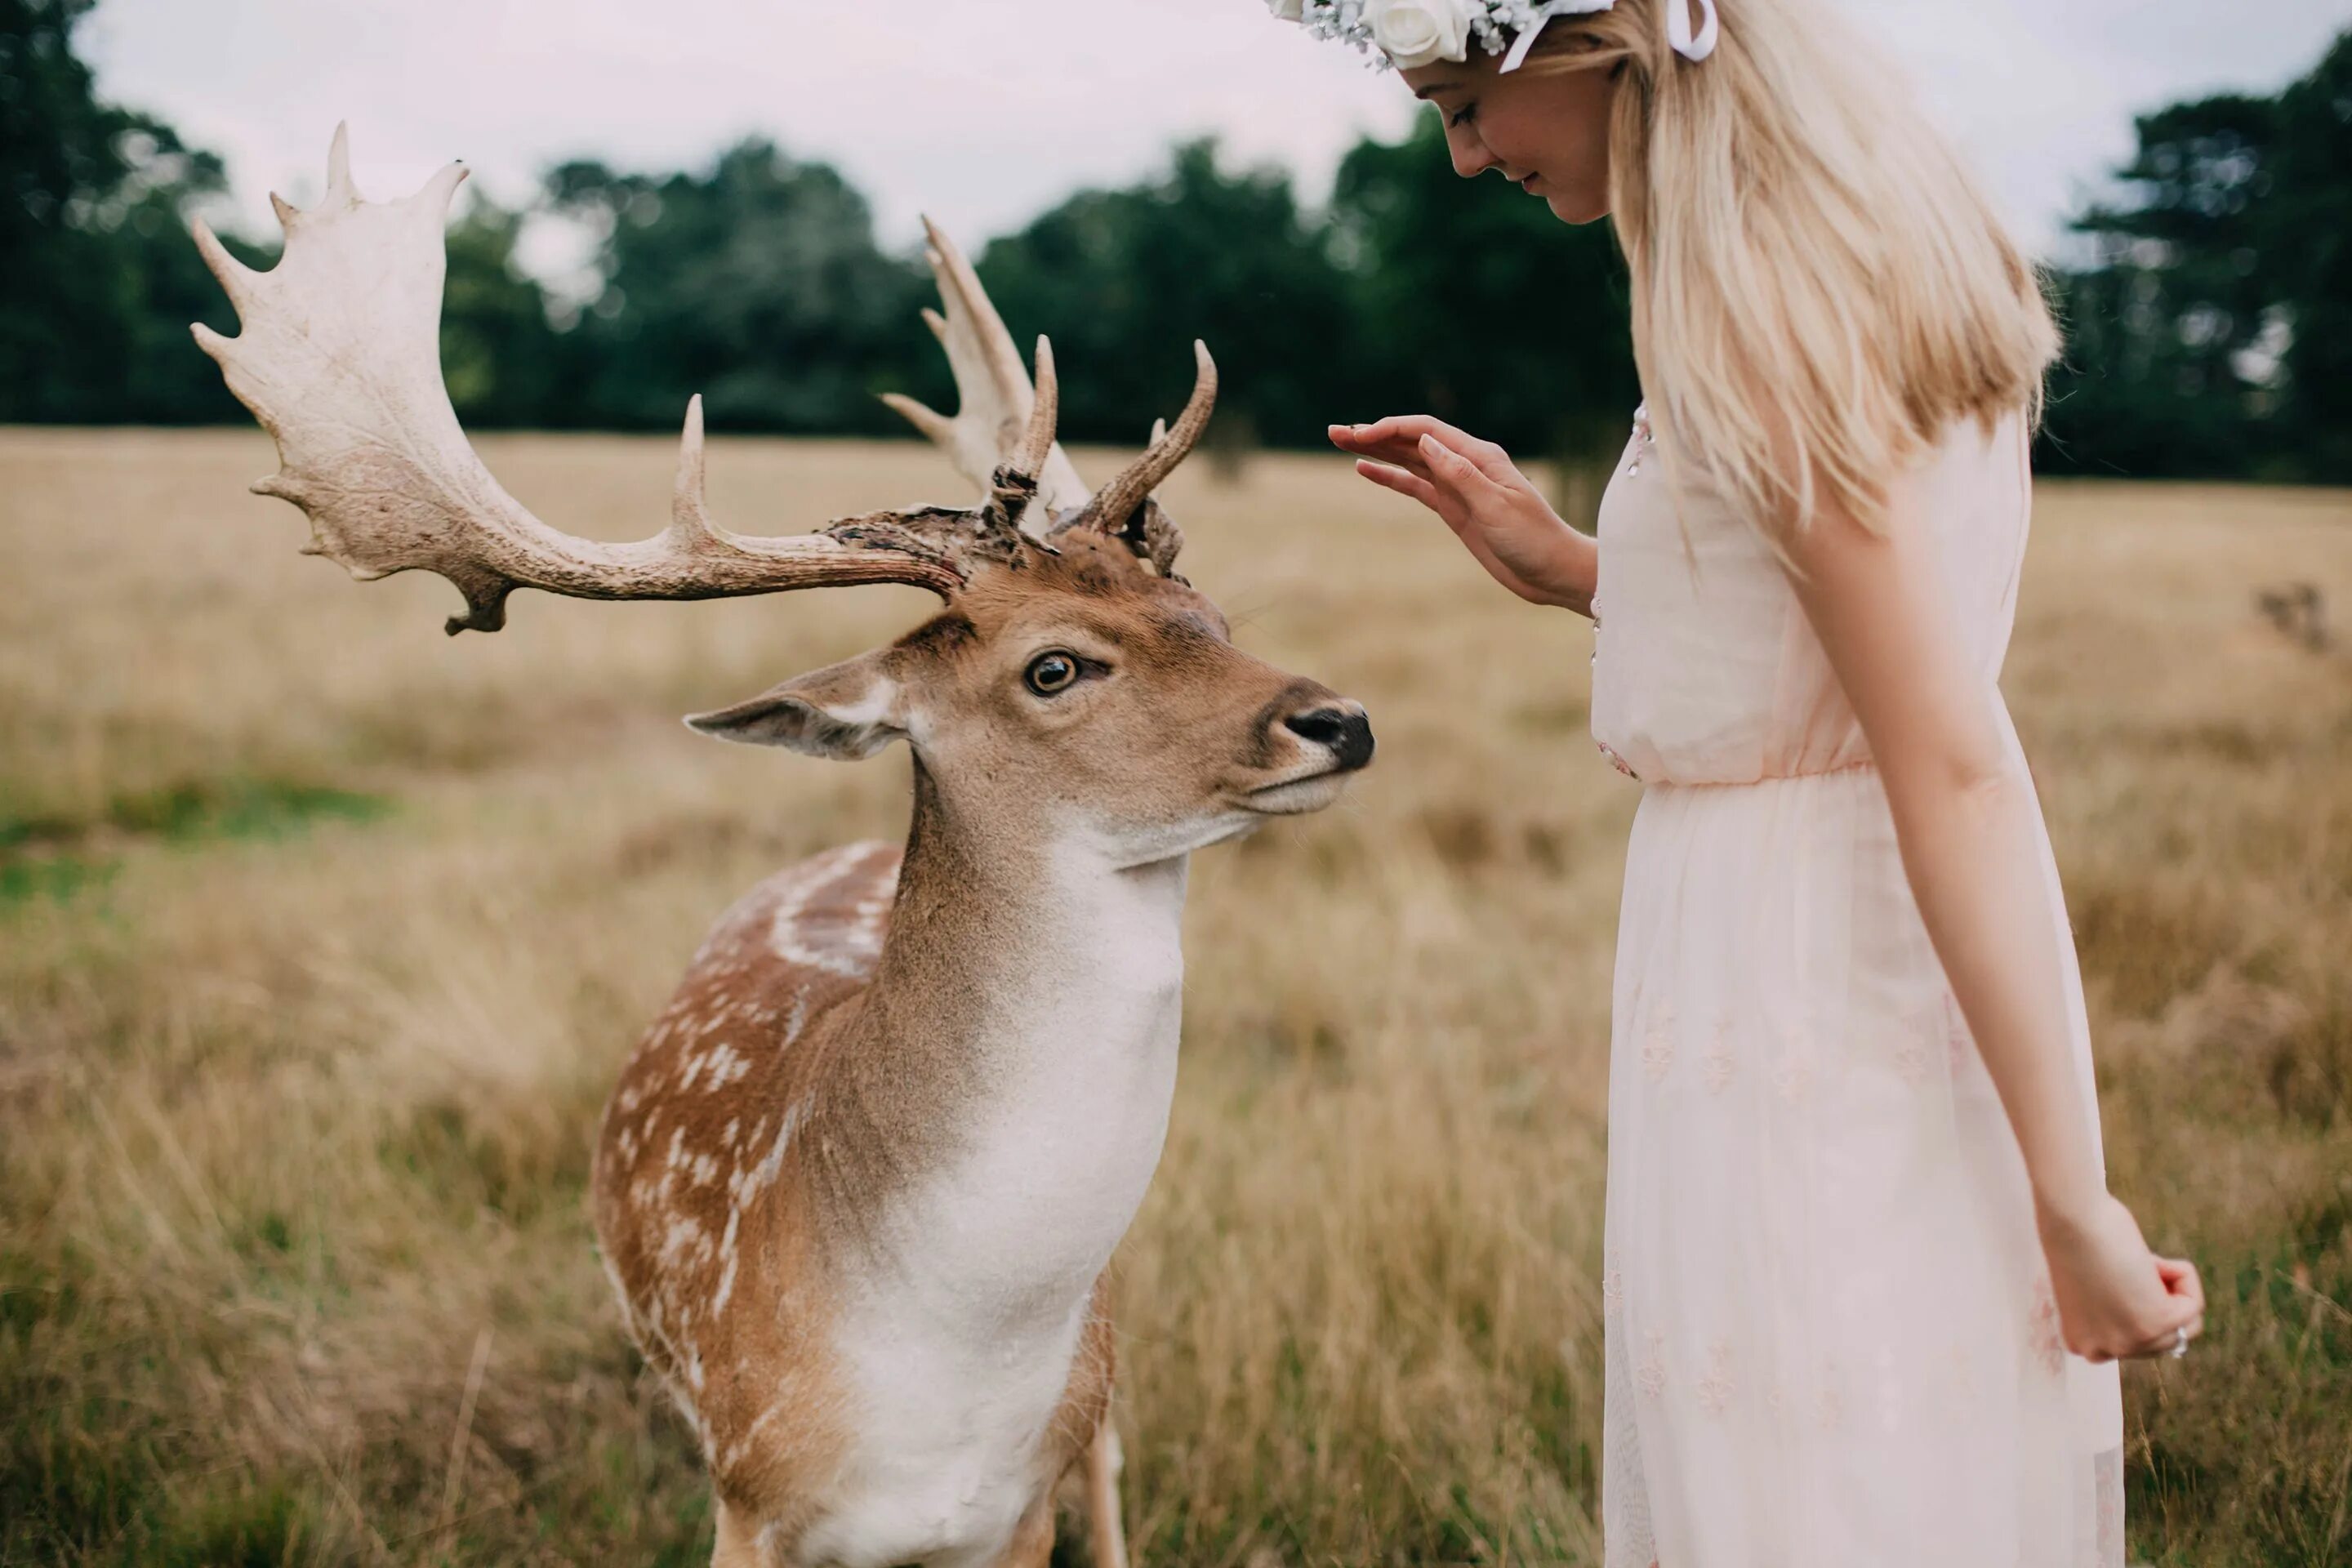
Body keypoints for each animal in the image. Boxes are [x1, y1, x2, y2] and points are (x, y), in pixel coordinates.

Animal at [193, 131, 1373, 1568]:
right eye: (1053, 666)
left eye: (1207, 615)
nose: (1338, 720)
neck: (945, 1371)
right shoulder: (749, 1488)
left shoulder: (1022, 1506)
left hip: (1108, 1373)